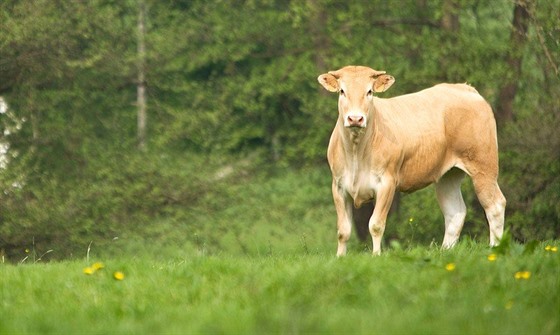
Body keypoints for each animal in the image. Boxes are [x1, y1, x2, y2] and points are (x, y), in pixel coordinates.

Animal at [318, 65, 506, 255]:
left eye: (369, 91)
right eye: (342, 91)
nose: (355, 118)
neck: (356, 151)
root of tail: (464, 88)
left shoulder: (386, 183)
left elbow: (376, 225)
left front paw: (376, 255)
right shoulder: (339, 186)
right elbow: (343, 230)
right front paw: (340, 257)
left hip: (483, 166)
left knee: (495, 205)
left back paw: (495, 248)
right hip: (448, 175)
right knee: (455, 212)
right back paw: (445, 251)